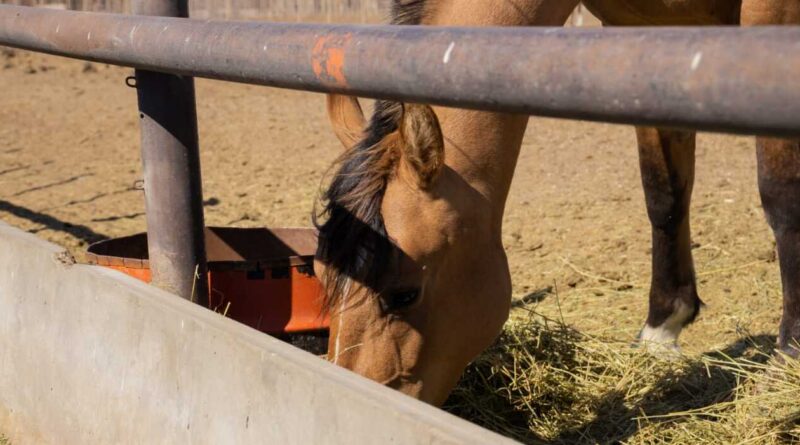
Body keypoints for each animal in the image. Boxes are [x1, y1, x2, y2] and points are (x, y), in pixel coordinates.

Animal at [313, 0, 800, 406]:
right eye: (318, 272)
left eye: (404, 292)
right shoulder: (645, 33)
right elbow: (663, 194)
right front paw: (662, 330)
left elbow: (783, 198)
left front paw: (787, 361)